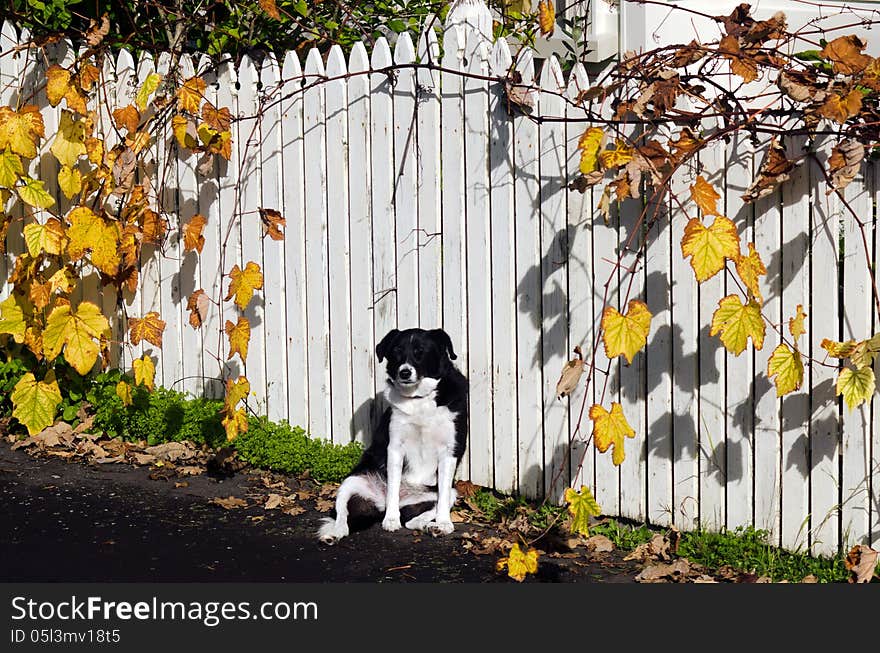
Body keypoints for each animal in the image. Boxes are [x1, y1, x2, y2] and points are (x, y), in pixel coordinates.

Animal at [316, 326, 468, 544]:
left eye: (420, 351)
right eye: (396, 351)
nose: (404, 372)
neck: (418, 398)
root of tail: (380, 505)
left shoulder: (449, 451)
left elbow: (443, 497)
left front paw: (444, 524)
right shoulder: (395, 447)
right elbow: (394, 487)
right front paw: (391, 520)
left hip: (448, 494)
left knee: (415, 519)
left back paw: (429, 526)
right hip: (350, 483)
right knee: (343, 519)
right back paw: (334, 534)